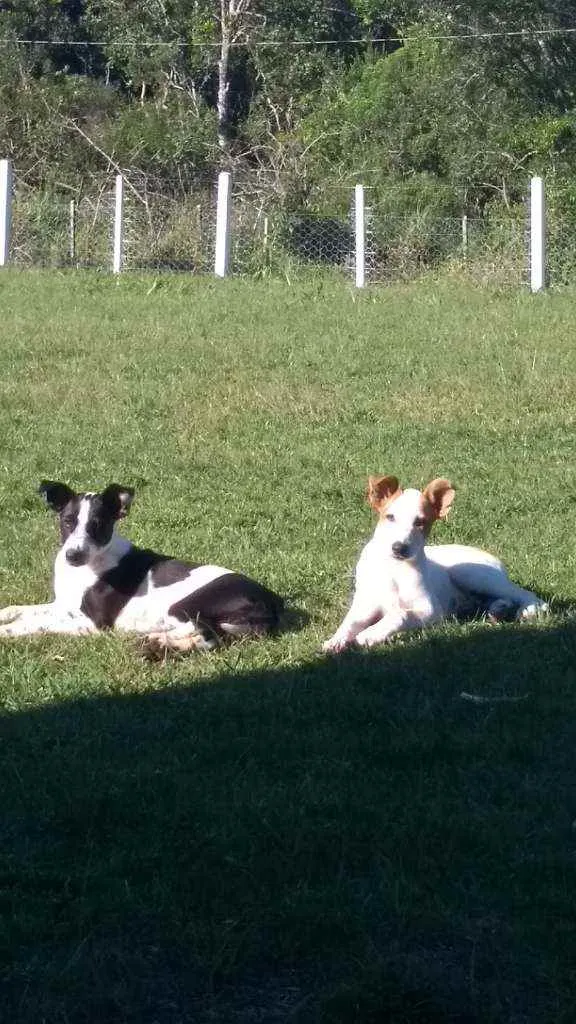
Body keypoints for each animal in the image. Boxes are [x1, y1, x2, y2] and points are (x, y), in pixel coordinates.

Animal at [0, 481, 282, 655]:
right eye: (67, 521)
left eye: (98, 525)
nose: (73, 555)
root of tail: (271, 602)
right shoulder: (63, 605)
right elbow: (23, 611)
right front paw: (6, 615)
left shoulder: (94, 622)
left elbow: (35, 623)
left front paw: (6, 631)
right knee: (210, 638)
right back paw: (161, 643)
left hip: (187, 605)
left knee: (206, 633)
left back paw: (161, 641)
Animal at [319, 475, 545, 651]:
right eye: (389, 517)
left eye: (420, 522)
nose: (399, 548)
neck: (394, 569)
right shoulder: (365, 604)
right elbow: (350, 622)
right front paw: (335, 641)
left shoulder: (430, 609)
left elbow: (401, 614)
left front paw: (370, 634)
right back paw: (498, 609)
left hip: (472, 574)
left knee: (523, 593)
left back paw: (529, 610)